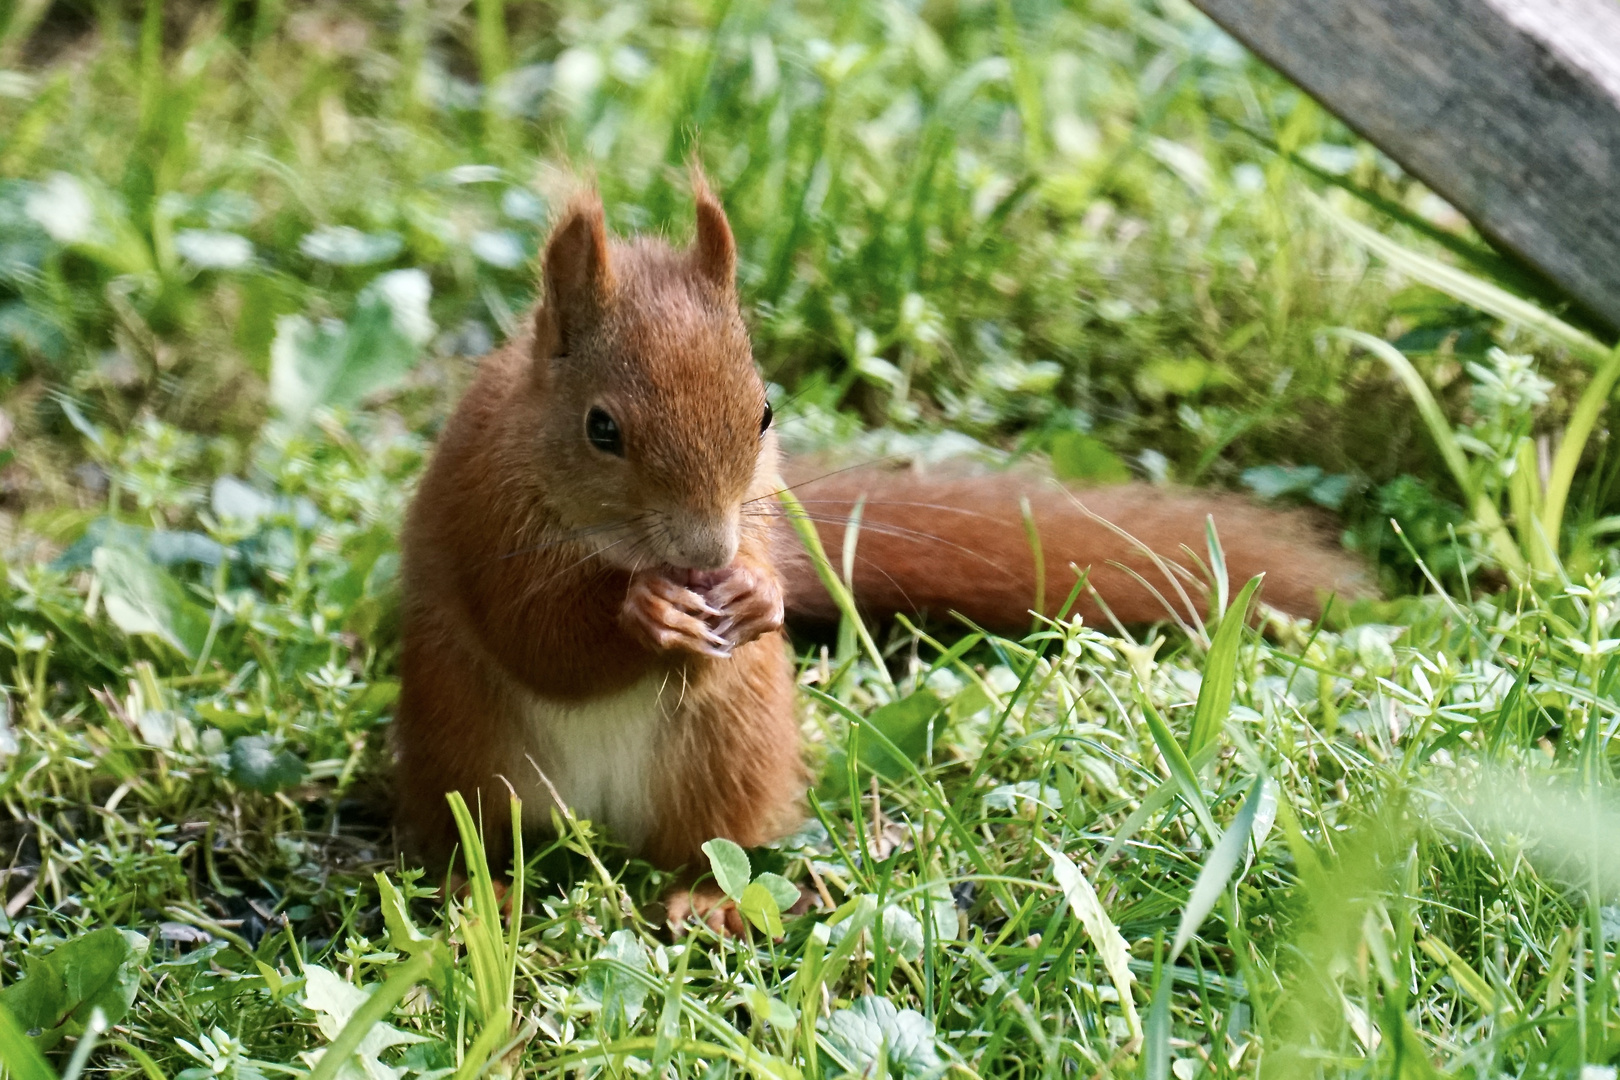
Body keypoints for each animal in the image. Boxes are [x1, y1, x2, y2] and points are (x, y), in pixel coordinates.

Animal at [395, 175, 1367, 919]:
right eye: (602, 429)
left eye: (765, 412)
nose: (710, 552)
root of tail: (596, 822)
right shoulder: (486, 518)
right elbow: (540, 638)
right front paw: (647, 611)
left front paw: (756, 595)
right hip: (468, 753)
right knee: (485, 838)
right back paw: (478, 898)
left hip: (728, 747)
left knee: (708, 844)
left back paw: (706, 900)